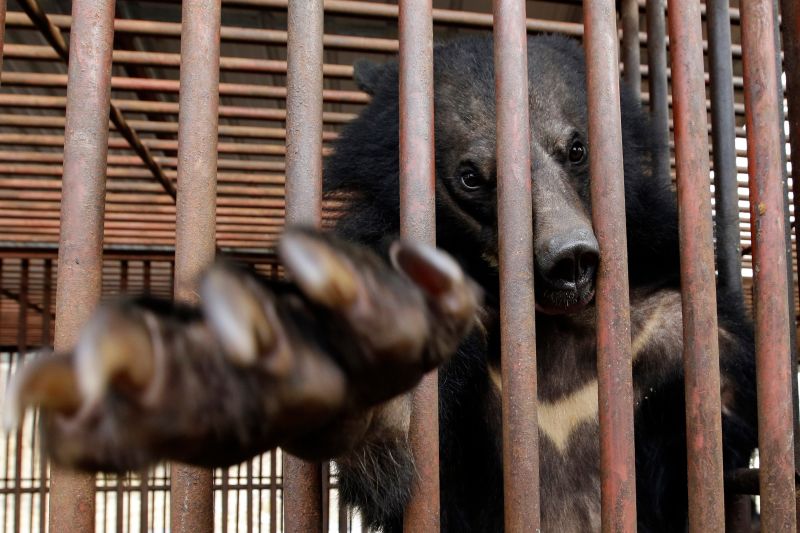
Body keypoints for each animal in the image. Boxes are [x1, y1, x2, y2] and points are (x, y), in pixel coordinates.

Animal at [4, 35, 756, 532]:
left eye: (576, 148)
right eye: (470, 176)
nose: (569, 259)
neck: (542, 326)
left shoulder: (662, 313)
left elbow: (719, 420)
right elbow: (391, 453)